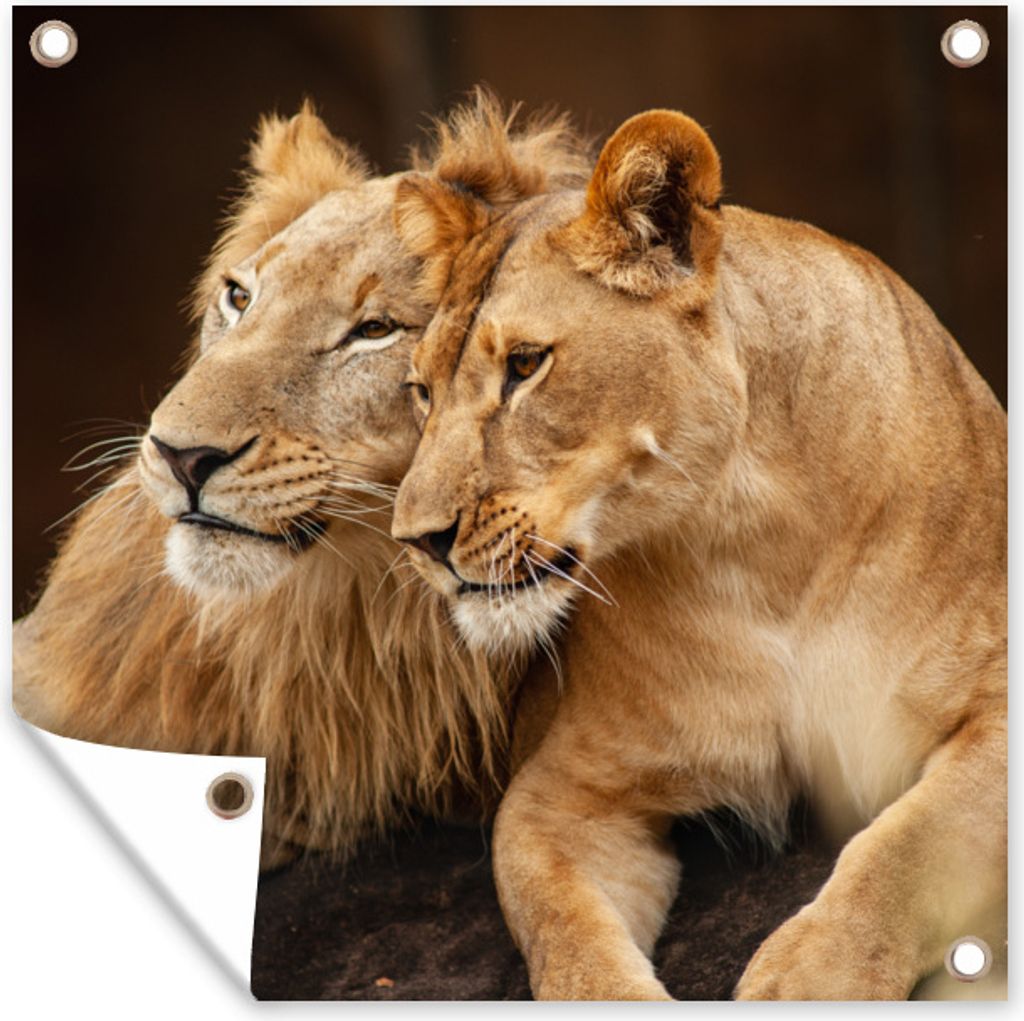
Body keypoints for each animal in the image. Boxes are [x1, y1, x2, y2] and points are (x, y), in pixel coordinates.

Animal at [389, 110, 1007, 999]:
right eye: (421, 391)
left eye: (525, 365)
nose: (416, 539)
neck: (753, 540)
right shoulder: (564, 790)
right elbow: (564, 930)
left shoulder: (993, 701)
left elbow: (911, 843)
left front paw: (808, 978)